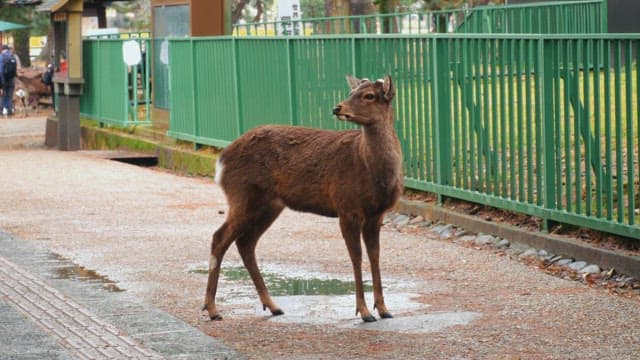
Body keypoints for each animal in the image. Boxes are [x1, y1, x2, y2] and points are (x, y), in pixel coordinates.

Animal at [202, 74, 402, 322]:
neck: (375, 173)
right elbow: (356, 257)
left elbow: (375, 256)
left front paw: (384, 309)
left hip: (268, 205)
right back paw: (212, 309)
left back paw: (273, 305)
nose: (337, 108)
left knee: (245, 242)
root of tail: (221, 160)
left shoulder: (377, 214)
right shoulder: (347, 207)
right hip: (242, 195)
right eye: (351, 92)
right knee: (219, 237)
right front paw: (364, 312)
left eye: (369, 95)